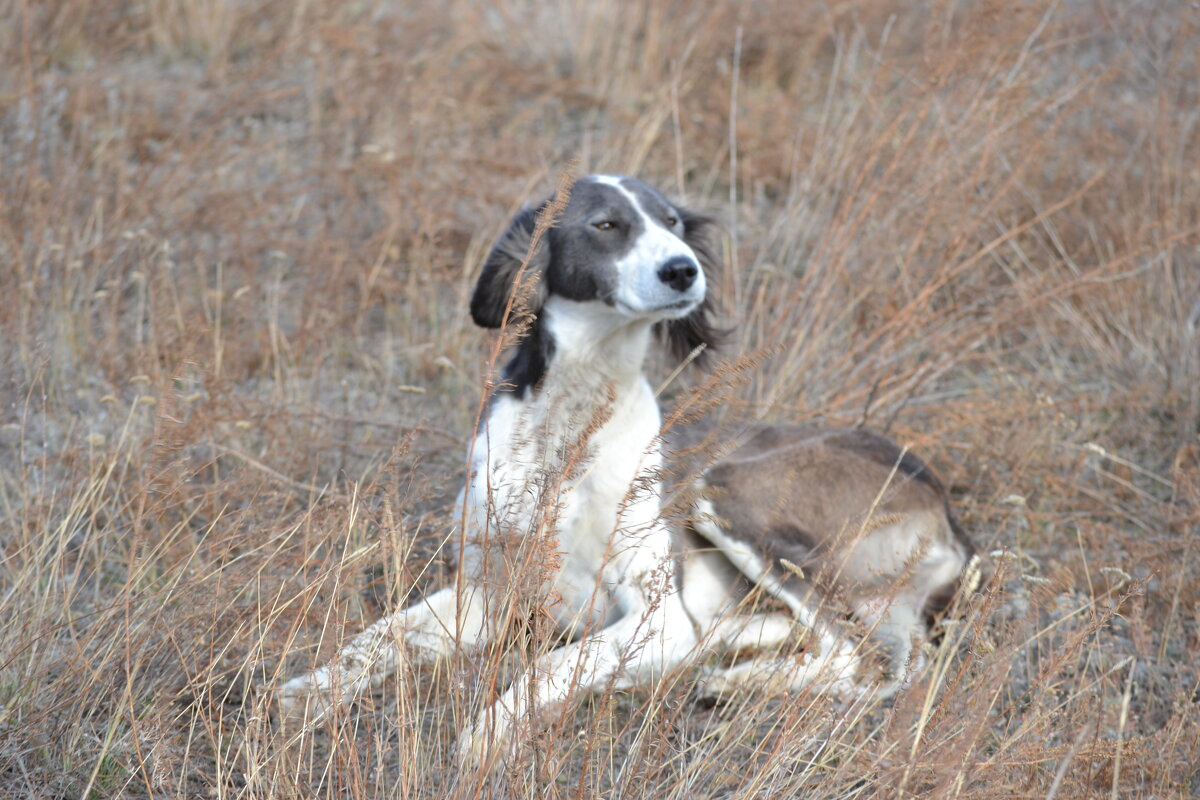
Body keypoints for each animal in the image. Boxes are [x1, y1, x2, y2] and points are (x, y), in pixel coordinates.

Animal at [278, 173, 974, 762]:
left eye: (672, 222)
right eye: (607, 224)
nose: (684, 270)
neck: (565, 433)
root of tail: (942, 501)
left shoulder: (656, 620)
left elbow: (548, 665)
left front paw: (489, 736)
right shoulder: (487, 596)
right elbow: (376, 637)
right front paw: (308, 693)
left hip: (727, 494)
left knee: (879, 659)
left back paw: (738, 679)